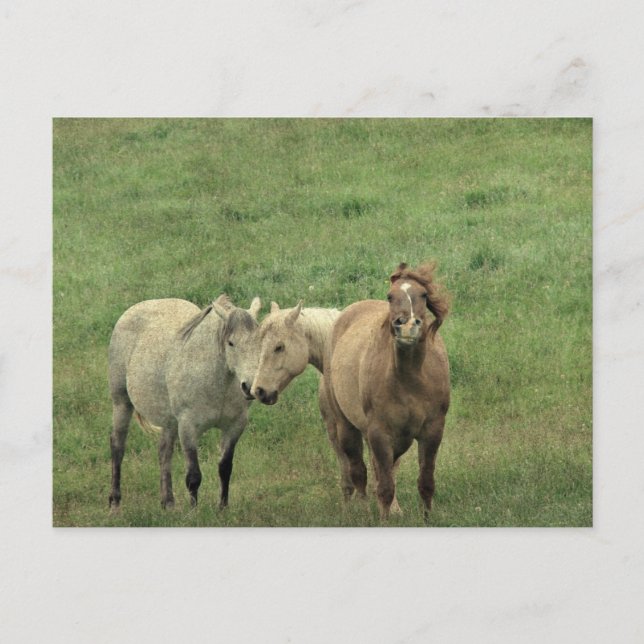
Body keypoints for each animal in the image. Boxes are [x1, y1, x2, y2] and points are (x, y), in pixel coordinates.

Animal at [108, 294, 261, 510]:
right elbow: (193, 476)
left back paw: (168, 503)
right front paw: (193, 511)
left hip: (169, 420)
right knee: (117, 446)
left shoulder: (235, 426)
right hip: (121, 402)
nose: (250, 387)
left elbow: (225, 468)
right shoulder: (188, 426)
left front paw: (222, 508)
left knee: (164, 452)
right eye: (231, 343)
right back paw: (114, 501)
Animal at [322, 262, 450, 521]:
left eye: (424, 294)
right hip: (346, 427)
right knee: (359, 472)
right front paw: (384, 520)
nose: (407, 326)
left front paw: (427, 519)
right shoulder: (380, 433)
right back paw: (363, 510)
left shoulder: (433, 430)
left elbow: (425, 482)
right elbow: (384, 487)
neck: (411, 380)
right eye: (390, 296)